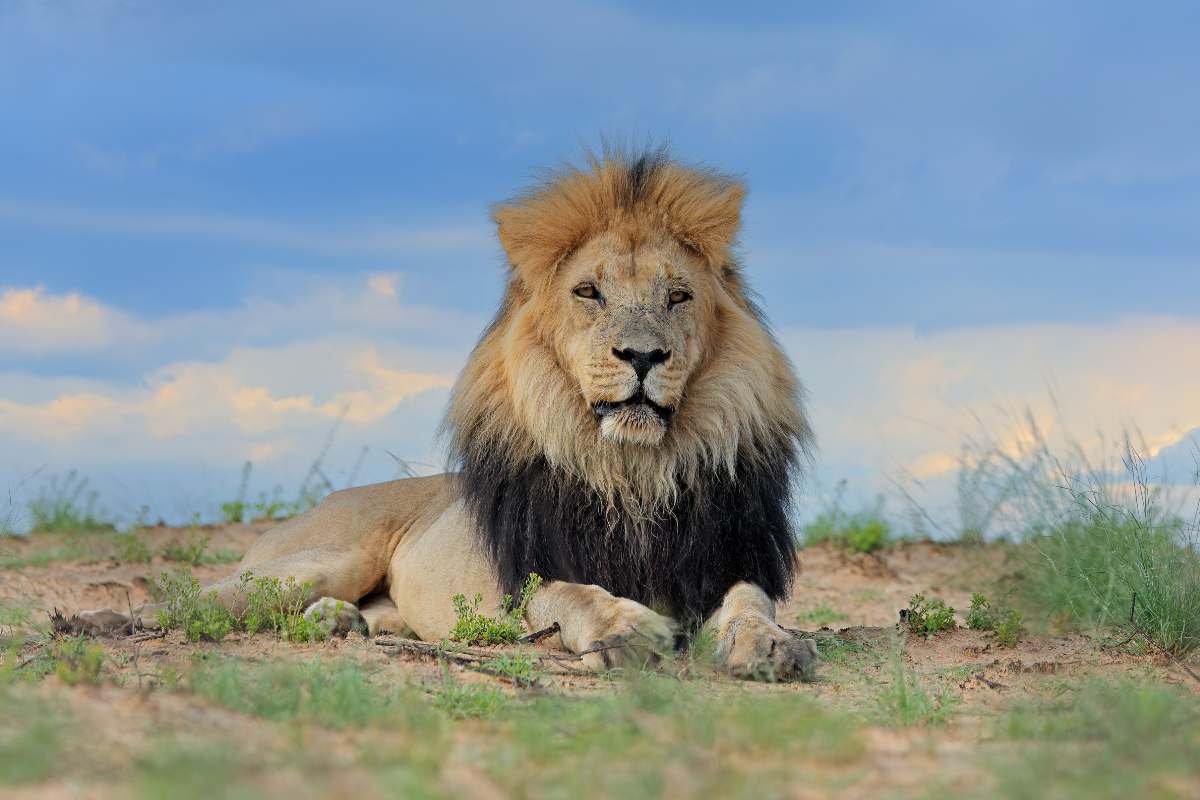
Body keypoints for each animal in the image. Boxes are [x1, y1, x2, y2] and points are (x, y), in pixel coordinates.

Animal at [85, 147, 818, 680]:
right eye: (588, 292)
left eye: (678, 295)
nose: (643, 355)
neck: (632, 472)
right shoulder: (525, 576)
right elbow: (572, 592)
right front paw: (625, 627)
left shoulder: (725, 562)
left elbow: (750, 601)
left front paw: (770, 643)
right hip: (315, 559)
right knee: (197, 597)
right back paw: (105, 620)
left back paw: (339, 623)